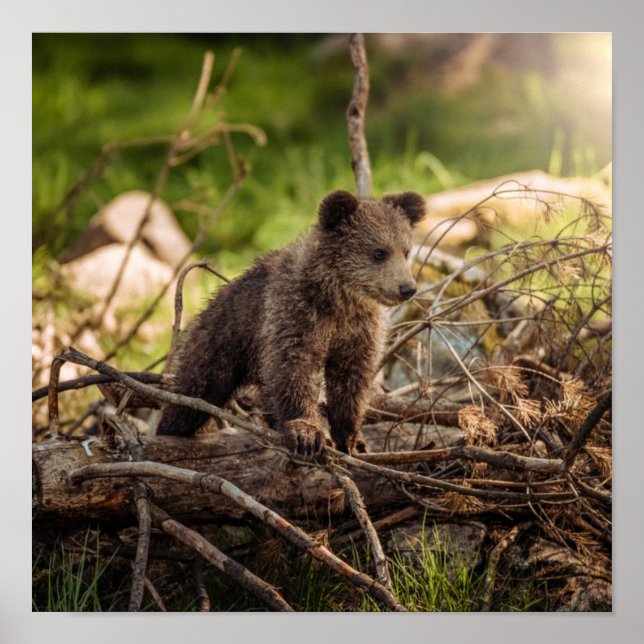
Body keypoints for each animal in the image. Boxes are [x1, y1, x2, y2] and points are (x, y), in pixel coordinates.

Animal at [156, 189, 426, 457]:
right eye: (379, 252)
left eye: (406, 251)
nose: (407, 288)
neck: (339, 299)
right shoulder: (295, 314)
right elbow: (293, 368)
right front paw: (306, 434)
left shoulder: (358, 330)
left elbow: (351, 379)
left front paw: (352, 439)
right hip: (220, 342)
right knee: (192, 393)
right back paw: (169, 430)